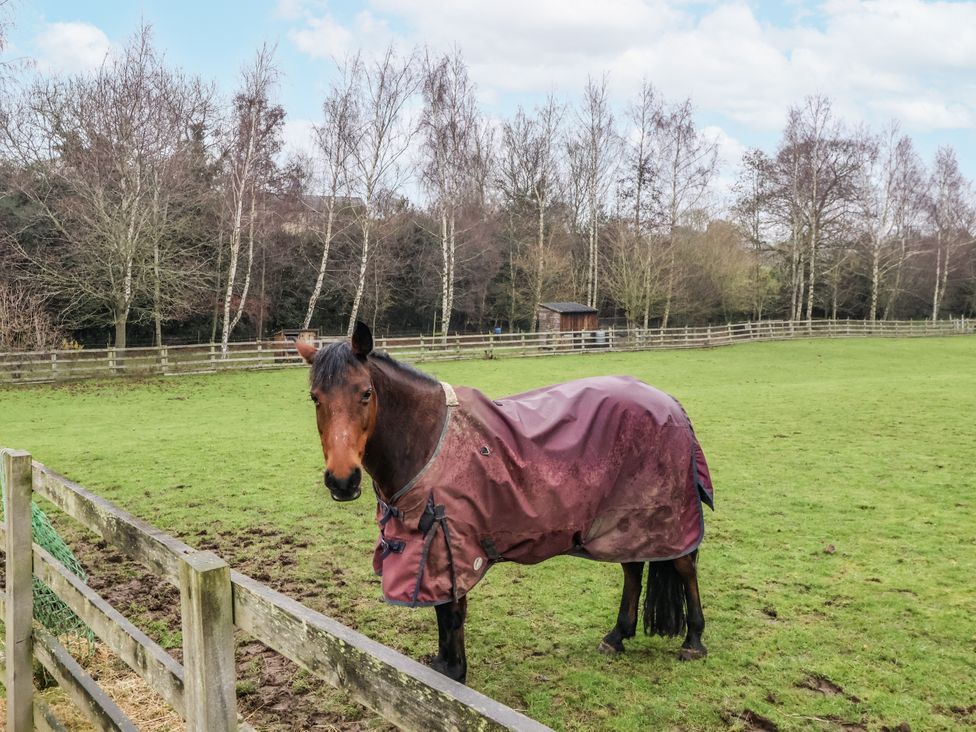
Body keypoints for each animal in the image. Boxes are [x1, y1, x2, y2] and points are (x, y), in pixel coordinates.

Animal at [295, 322, 714, 684]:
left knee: (684, 567)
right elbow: (444, 614)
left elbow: (451, 615)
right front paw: (443, 669)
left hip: (667, 517)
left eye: (365, 392)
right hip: (624, 520)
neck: (429, 440)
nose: (342, 480)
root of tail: (669, 402)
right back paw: (617, 636)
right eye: (315, 398)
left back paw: (693, 641)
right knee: (632, 567)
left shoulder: (449, 546)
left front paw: (452, 676)